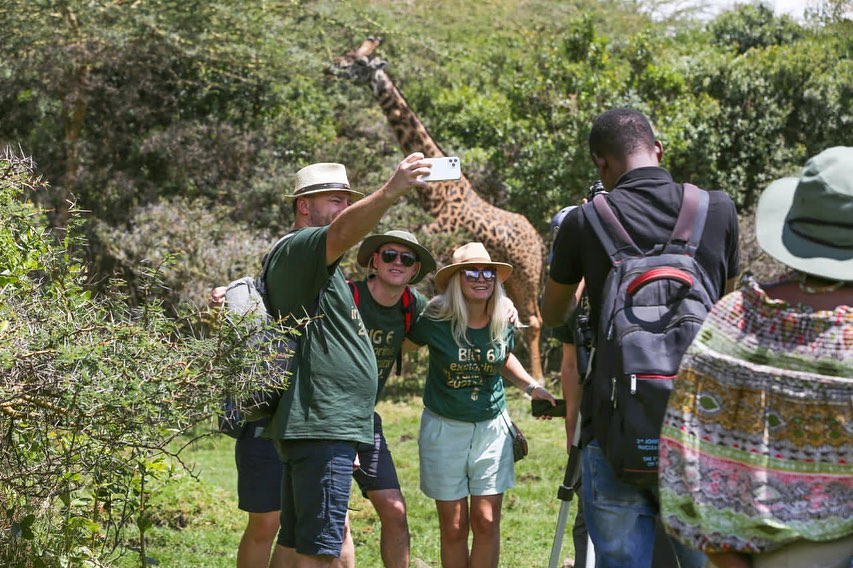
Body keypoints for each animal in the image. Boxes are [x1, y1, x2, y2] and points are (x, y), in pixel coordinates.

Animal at [326, 37, 544, 380]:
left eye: (359, 63)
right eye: (347, 55)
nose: (331, 67)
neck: (436, 193)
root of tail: (539, 240)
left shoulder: (440, 253)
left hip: (527, 275)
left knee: (533, 320)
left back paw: (538, 376)